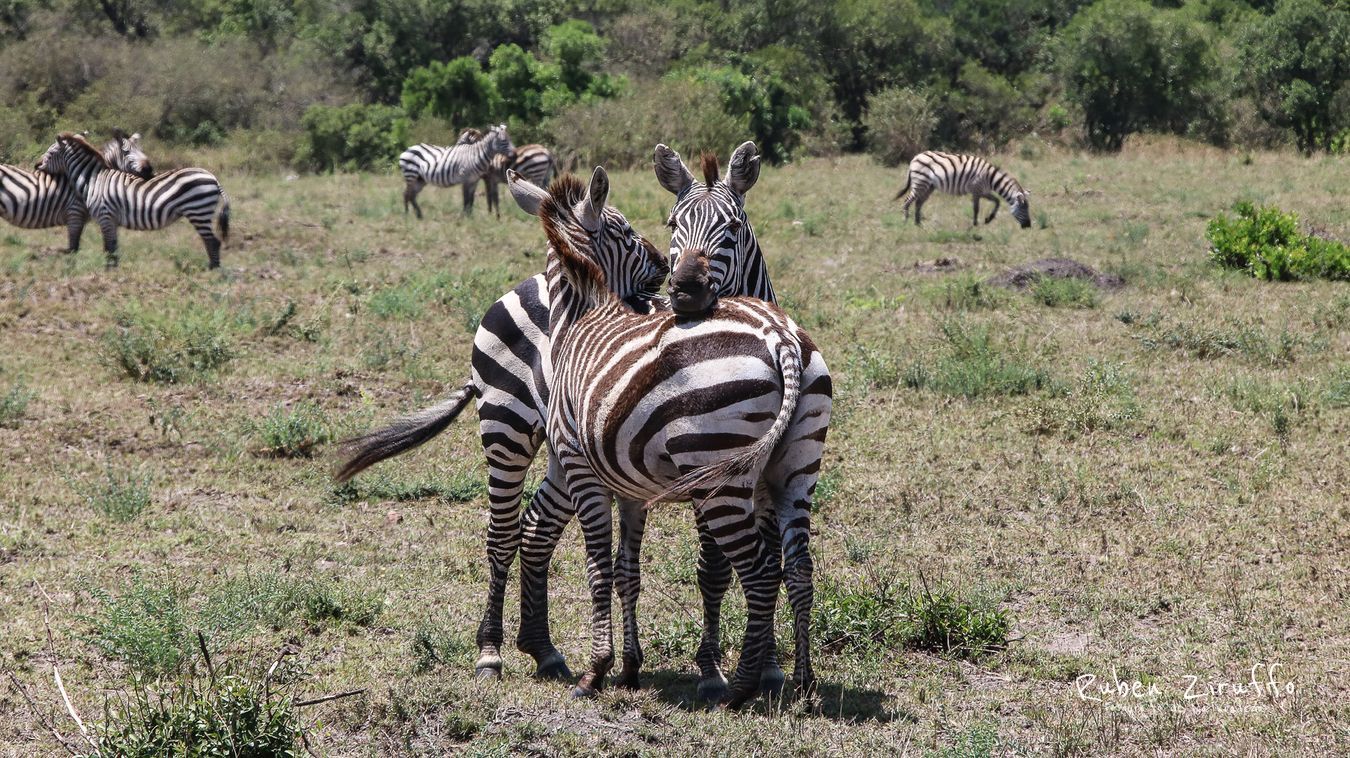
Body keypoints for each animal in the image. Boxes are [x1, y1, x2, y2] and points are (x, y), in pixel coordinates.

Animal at [36, 133, 232, 268]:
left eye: (51, 153)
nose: (36, 165)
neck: (95, 179)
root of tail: (214, 178)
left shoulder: (105, 216)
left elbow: (108, 248)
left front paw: (108, 273)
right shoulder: (112, 220)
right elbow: (113, 248)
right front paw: (114, 271)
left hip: (198, 211)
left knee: (212, 242)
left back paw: (211, 271)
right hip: (200, 212)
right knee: (211, 241)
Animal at [330, 141, 788, 697]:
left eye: (734, 228)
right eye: (673, 223)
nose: (683, 289)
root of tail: (519, 285)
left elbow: (768, 556)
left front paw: (764, 665)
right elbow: (714, 568)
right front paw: (712, 671)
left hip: (565, 453)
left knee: (535, 529)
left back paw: (543, 649)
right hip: (507, 430)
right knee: (502, 531)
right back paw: (491, 650)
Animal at [504, 165, 826, 702]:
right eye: (628, 230)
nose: (664, 268)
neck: (578, 316)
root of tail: (780, 338)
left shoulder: (580, 469)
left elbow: (597, 566)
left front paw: (596, 671)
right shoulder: (631, 490)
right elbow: (625, 571)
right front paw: (629, 668)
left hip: (720, 478)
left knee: (761, 571)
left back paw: (740, 688)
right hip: (794, 469)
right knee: (798, 566)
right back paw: (801, 683)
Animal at [896, 149, 1031, 226]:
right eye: (1023, 210)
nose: (1028, 226)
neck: (990, 178)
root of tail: (915, 157)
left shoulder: (983, 191)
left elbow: (997, 201)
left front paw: (989, 219)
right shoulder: (976, 190)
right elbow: (976, 208)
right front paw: (975, 224)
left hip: (929, 186)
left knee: (918, 202)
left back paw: (918, 224)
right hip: (920, 182)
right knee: (907, 200)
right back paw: (905, 221)